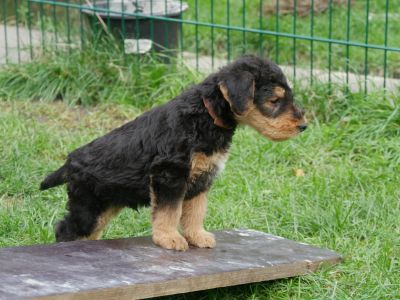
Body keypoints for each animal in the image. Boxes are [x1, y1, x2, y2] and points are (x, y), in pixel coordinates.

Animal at [40, 54, 308, 251]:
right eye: (274, 101)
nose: (303, 126)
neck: (204, 115)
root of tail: (70, 162)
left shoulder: (201, 178)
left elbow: (195, 212)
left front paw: (198, 236)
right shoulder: (169, 175)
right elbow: (169, 211)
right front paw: (169, 238)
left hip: (106, 205)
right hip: (88, 206)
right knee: (65, 229)